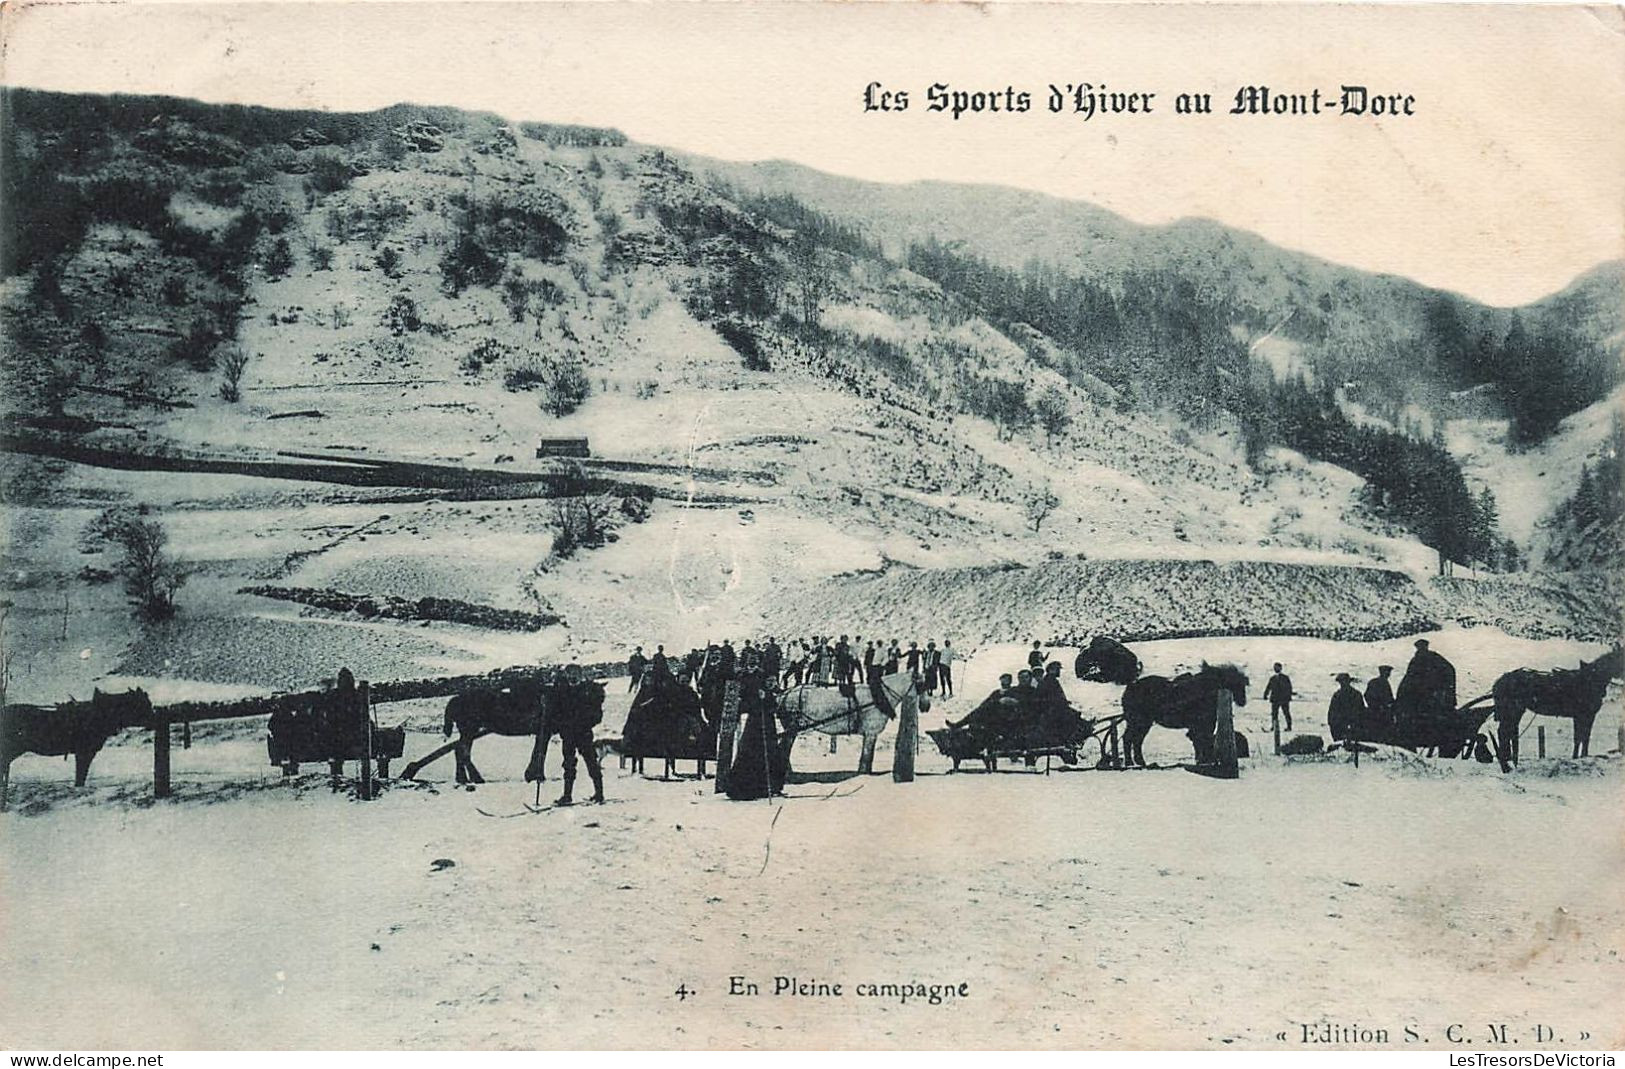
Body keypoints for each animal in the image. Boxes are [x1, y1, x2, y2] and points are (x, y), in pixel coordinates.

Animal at [770, 669, 923, 770]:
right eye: (922, 684)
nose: (925, 706)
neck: (877, 697)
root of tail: (784, 694)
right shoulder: (871, 733)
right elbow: (867, 758)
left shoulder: (869, 734)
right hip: (791, 728)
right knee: (784, 750)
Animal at [1488, 640, 1618, 766]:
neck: (1590, 680)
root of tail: (1500, 681)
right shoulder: (1584, 715)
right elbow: (1581, 737)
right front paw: (1579, 757)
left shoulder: (1584, 716)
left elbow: (1583, 737)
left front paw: (1579, 757)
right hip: (1513, 711)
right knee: (1504, 732)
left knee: (1507, 732)